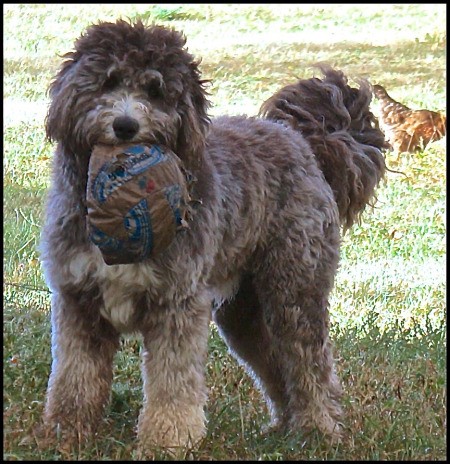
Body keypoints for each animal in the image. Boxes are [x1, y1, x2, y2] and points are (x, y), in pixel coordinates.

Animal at [38, 20, 386, 454]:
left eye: (155, 90)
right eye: (109, 81)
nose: (125, 125)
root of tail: (303, 140)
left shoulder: (176, 304)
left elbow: (173, 383)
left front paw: (165, 443)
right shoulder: (78, 300)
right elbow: (75, 377)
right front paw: (65, 434)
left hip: (294, 289)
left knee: (310, 364)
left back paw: (318, 429)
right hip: (243, 312)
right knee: (275, 362)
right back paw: (284, 427)